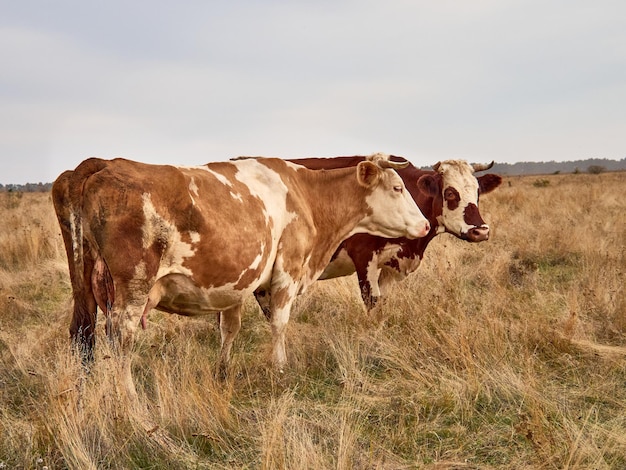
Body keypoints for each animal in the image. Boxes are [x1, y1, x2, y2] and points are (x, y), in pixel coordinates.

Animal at [52, 153, 428, 392]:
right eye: (397, 188)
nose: (425, 224)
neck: (307, 196)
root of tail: (101, 164)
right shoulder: (287, 271)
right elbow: (279, 323)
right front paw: (280, 368)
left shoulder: (240, 281)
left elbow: (229, 329)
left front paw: (223, 372)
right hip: (133, 288)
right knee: (121, 339)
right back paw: (129, 400)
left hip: (84, 288)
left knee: (81, 334)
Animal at [251, 156, 500, 314]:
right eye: (450, 193)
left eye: (477, 192)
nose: (480, 231)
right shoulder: (364, 257)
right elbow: (371, 301)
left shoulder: (394, 264)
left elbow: (382, 304)